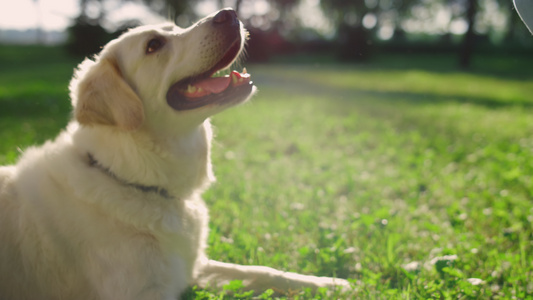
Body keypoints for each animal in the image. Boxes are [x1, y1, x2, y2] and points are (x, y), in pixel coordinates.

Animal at [0, 8, 350, 298]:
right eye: (153, 45)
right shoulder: (145, 292)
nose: (229, 13)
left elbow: (262, 271)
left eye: (177, 28)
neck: (132, 176)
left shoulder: (192, 266)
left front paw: (330, 284)